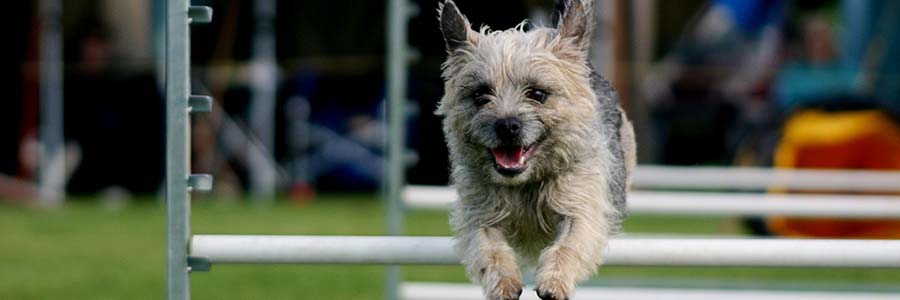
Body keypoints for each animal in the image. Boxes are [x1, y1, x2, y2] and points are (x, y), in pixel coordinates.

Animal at [438, 1, 636, 298]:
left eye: (537, 94)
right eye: (480, 95)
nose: (507, 125)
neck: (526, 183)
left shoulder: (582, 206)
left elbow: (570, 243)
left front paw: (554, 280)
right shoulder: (479, 215)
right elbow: (489, 248)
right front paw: (504, 281)